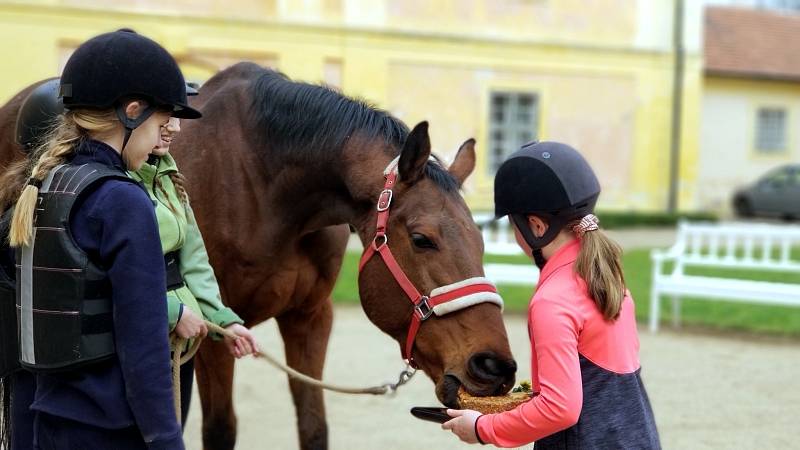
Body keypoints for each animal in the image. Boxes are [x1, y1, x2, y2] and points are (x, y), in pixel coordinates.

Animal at [0, 64, 516, 450]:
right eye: (423, 238)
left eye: (481, 239)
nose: (495, 367)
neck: (268, 185)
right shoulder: (214, 330)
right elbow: (219, 430)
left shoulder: (310, 319)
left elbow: (314, 427)